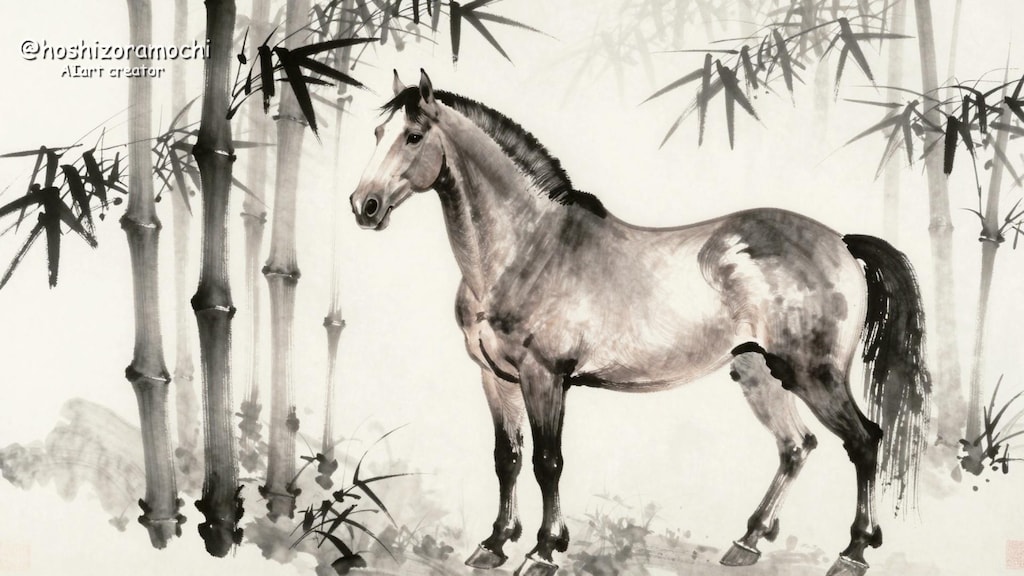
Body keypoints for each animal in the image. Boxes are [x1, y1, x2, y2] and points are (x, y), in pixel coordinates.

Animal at [350, 70, 931, 576]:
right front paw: (494, 544)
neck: (526, 249)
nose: (364, 206)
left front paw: (543, 551)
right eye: (376, 133)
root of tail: (841, 242)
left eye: (414, 136)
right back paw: (746, 542)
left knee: (864, 442)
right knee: (796, 446)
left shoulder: (545, 376)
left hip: (814, 375)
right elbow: (507, 458)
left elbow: (547, 462)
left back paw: (852, 552)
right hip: (760, 373)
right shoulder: (495, 377)